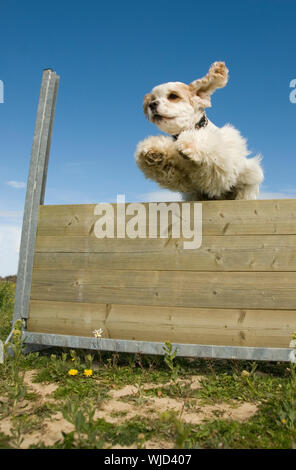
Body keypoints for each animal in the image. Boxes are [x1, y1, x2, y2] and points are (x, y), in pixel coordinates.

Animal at [134, 61, 264, 200]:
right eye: (153, 98)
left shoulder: (221, 171)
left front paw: (188, 144)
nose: (152, 104)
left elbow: (209, 147)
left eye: (173, 96)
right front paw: (154, 152)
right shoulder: (185, 179)